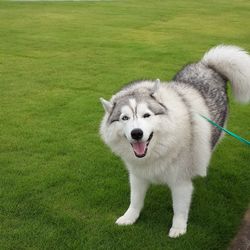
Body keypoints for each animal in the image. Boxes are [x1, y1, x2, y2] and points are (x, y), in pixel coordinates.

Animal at [98, 45, 249, 238]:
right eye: (124, 118)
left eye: (146, 115)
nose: (137, 133)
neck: (158, 150)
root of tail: (206, 65)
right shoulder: (138, 176)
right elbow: (135, 200)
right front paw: (129, 217)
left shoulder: (180, 182)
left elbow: (179, 209)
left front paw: (178, 228)